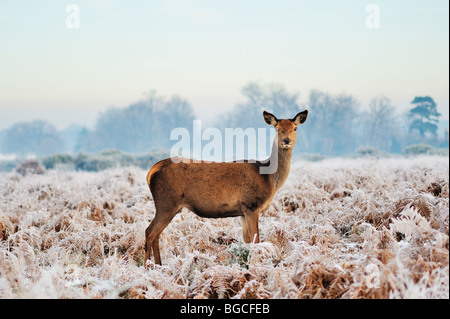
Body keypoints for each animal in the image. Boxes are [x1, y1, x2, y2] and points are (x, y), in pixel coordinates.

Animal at [146, 110, 308, 264]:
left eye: (295, 128)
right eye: (277, 128)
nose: (286, 141)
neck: (269, 178)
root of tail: (151, 172)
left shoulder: (242, 211)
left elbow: (247, 241)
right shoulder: (251, 204)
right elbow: (256, 241)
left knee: (155, 233)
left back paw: (158, 264)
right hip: (167, 202)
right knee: (150, 232)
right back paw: (147, 266)